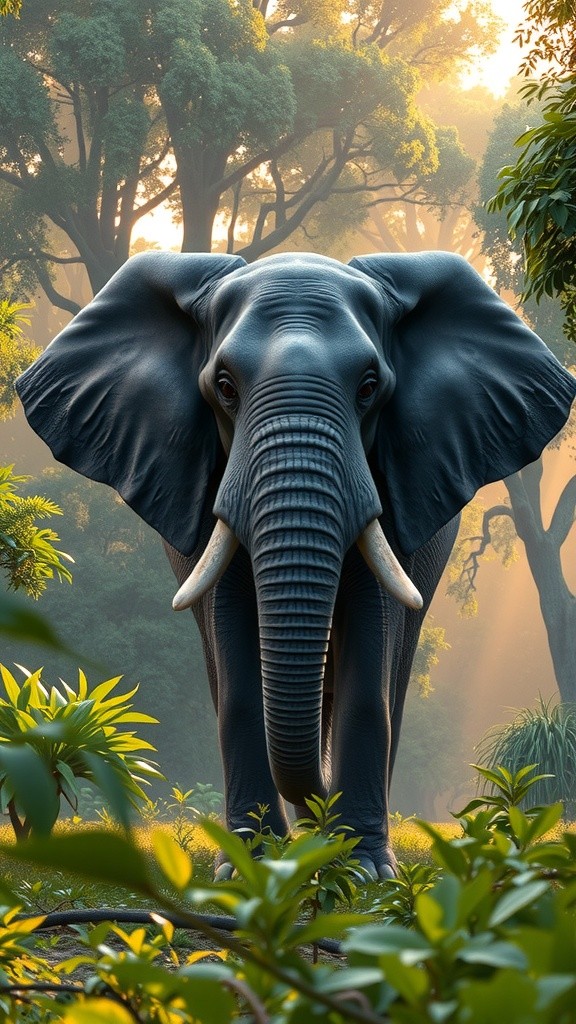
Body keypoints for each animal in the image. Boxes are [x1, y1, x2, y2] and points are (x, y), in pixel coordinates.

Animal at [16, 250, 576, 879]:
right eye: (225, 387)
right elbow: (233, 647)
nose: (322, 822)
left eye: (369, 387)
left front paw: (364, 871)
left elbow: (371, 649)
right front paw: (248, 867)